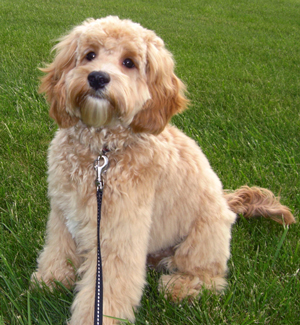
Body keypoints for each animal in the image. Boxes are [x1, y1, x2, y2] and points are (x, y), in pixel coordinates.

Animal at [31, 15, 294, 324]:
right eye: (90, 55)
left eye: (129, 62)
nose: (97, 77)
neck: (101, 153)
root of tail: (227, 203)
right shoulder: (63, 211)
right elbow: (57, 248)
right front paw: (51, 279)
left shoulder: (117, 232)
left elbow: (107, 289)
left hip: (202, 240)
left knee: (211, 277)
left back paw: (179, 286)